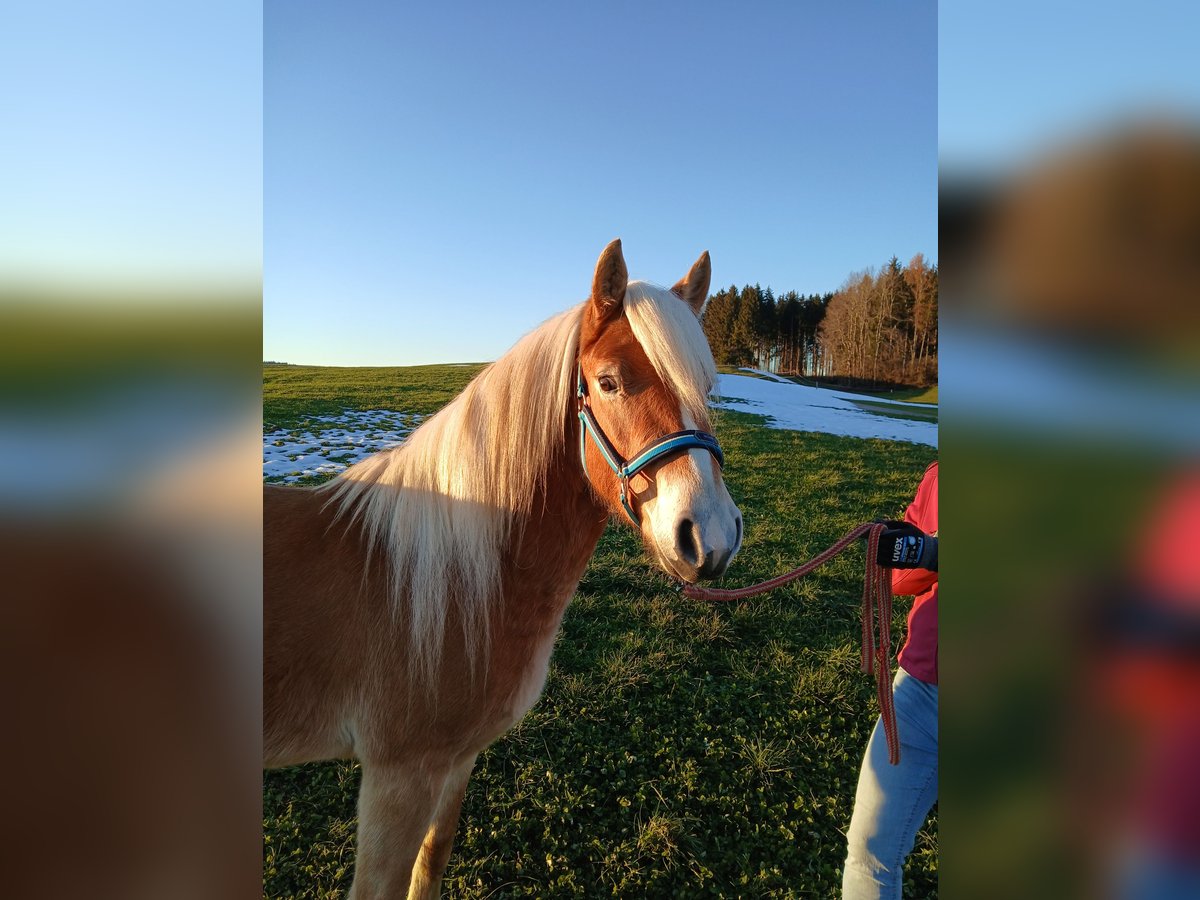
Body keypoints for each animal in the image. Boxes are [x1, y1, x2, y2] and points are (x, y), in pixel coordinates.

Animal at [267, 241, 744, 900]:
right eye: (608, 382)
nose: (711, 536)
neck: (447, 587)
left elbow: (431, 863)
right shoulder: (399, 777)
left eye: (705, 386)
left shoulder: (455, 762)